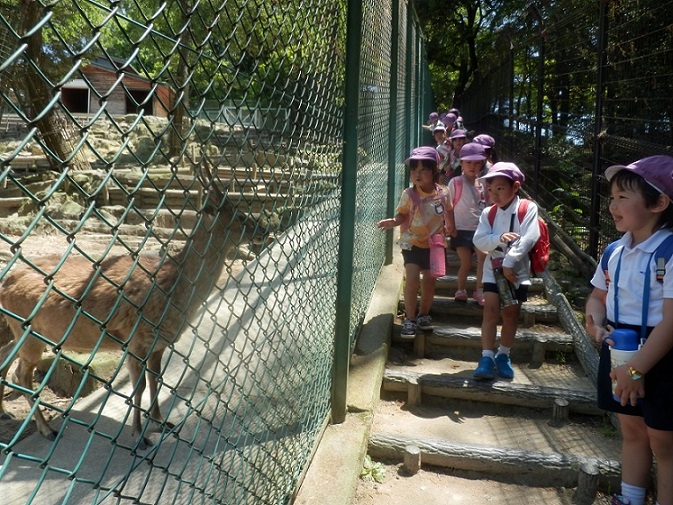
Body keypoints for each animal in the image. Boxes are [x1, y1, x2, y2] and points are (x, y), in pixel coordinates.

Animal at [0, 161, 234, 448]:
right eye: (239, 214)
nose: (261, 227)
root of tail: (5, 282)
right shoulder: (136, 339)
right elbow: (139, 386)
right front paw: (139, 435)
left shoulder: (157, 344)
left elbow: (156, 380)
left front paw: (162, 422)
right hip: (29, 331)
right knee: (22, 373)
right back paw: (47, 430)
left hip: (21, 330)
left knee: (6, 356)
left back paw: (6, 413)